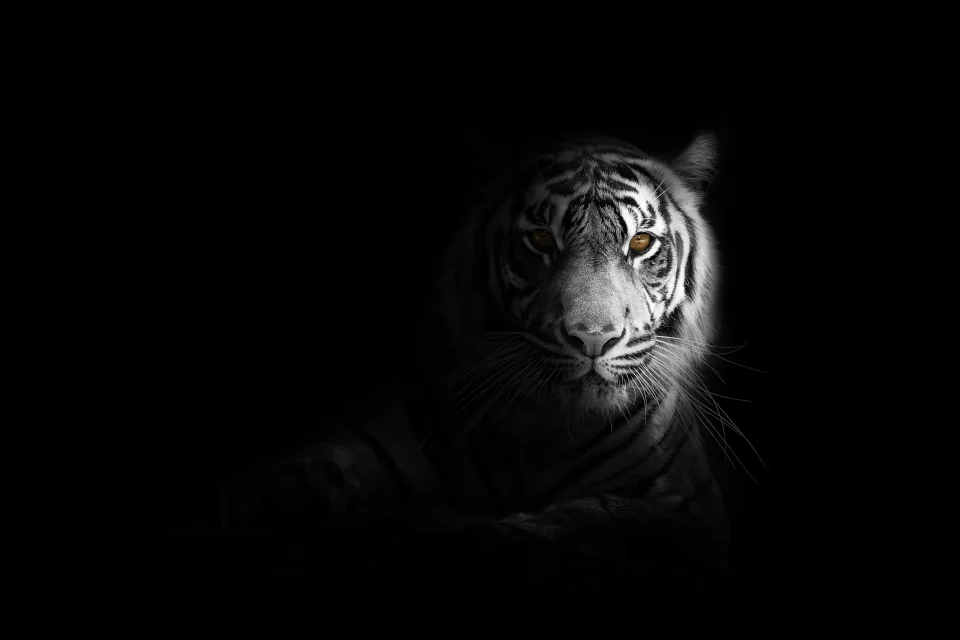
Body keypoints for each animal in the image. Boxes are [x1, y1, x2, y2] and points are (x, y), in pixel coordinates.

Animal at [221, 132, 741, 617]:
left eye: (640, 243)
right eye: (540, 240)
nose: (593, 339)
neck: (549, 430)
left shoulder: (694, 508)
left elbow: (610, 514)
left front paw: (513, 530)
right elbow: (304, 474)